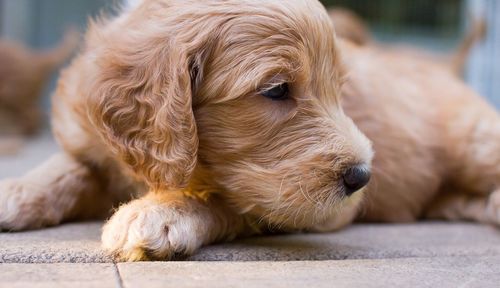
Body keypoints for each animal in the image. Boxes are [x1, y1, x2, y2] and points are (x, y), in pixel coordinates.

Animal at [0, 0, 498, 262]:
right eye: (277, 90)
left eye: (339, 90)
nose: (362, 178)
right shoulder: (88, 137)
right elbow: (65, 168)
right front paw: (16, 190)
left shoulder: (307, 207)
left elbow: (224, 202)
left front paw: (161, 213)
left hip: (476, 143)